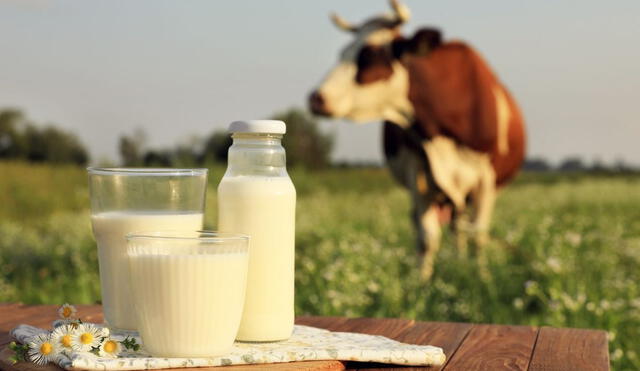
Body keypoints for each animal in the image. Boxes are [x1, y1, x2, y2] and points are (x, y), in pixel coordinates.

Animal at [308, 0, 524, 280]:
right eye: (343, 52)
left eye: (370, 55)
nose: (316, 98)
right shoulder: (418, 172)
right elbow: (427, 238)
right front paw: (422, 284)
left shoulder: (485, 178)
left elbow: (479, 235)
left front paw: (482, 278)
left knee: (462, 229)